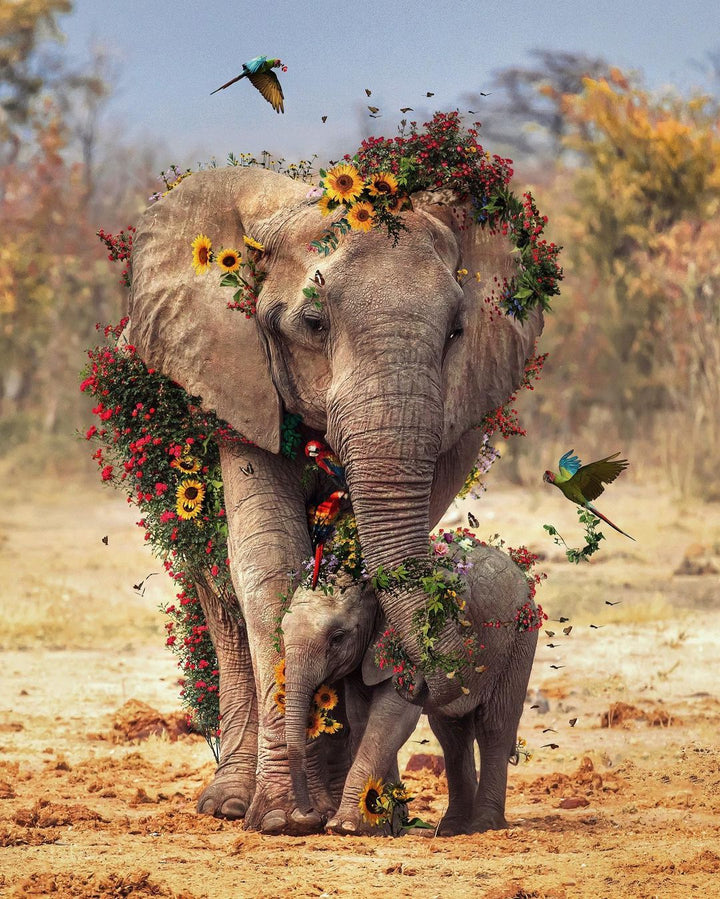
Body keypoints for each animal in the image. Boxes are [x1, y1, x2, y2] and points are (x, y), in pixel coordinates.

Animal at [282, 543, 538, 835]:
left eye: (337, 638)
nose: (307, 815)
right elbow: (363, 721)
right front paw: (379, 826)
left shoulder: (406, 649)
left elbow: (390, 720)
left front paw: (343, 825)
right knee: (452, 734)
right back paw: (451, 828)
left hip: (519, 640)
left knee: (494, 725)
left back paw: (484, 824)